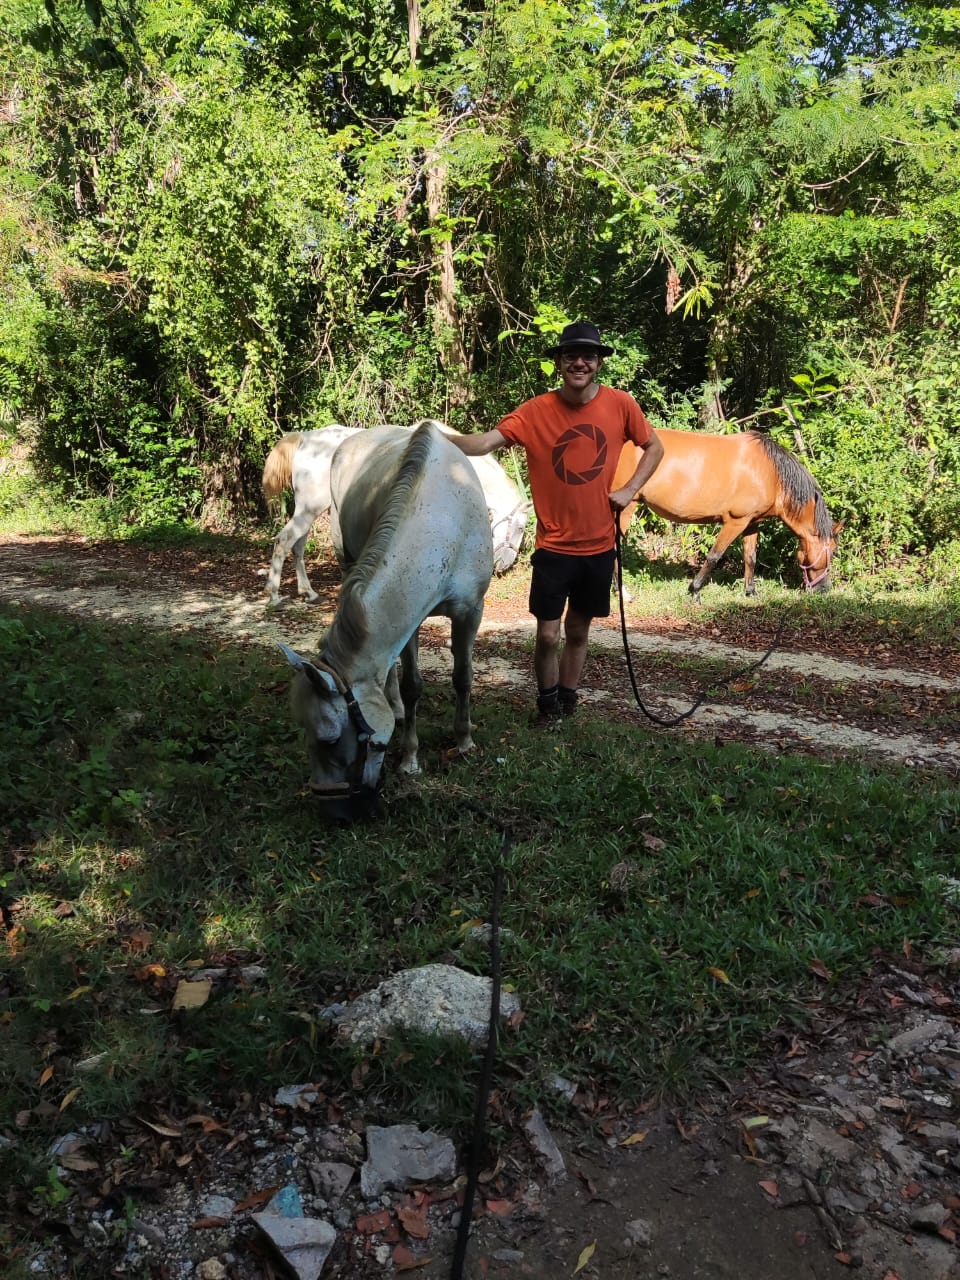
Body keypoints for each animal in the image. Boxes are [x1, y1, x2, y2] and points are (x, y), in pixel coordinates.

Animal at [263, 421, 528, 606]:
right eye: (521, 527)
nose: (505, 564)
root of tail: (305, 439)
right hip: (310, 509)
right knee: (284, 541)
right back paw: (274, 595)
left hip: (307, 510)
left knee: (297, 546)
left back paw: (309, 593)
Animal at [277, 421, 493, 821]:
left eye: (330, 739)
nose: (331, 813)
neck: (443, 523)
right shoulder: (411, 623)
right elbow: (411, 686)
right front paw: (410, 757)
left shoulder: (471, 611)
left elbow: (463, 677)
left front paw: (464, 740)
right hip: (345, 558)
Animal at [615, 429, 841, 596]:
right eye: (832, 550)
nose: (824, 589)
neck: (771, 475)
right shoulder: (735, 522)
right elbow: (714, 556)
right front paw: (694, 589)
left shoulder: (751, 523)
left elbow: (750, 556)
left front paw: (751, 592)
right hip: (625, 507)